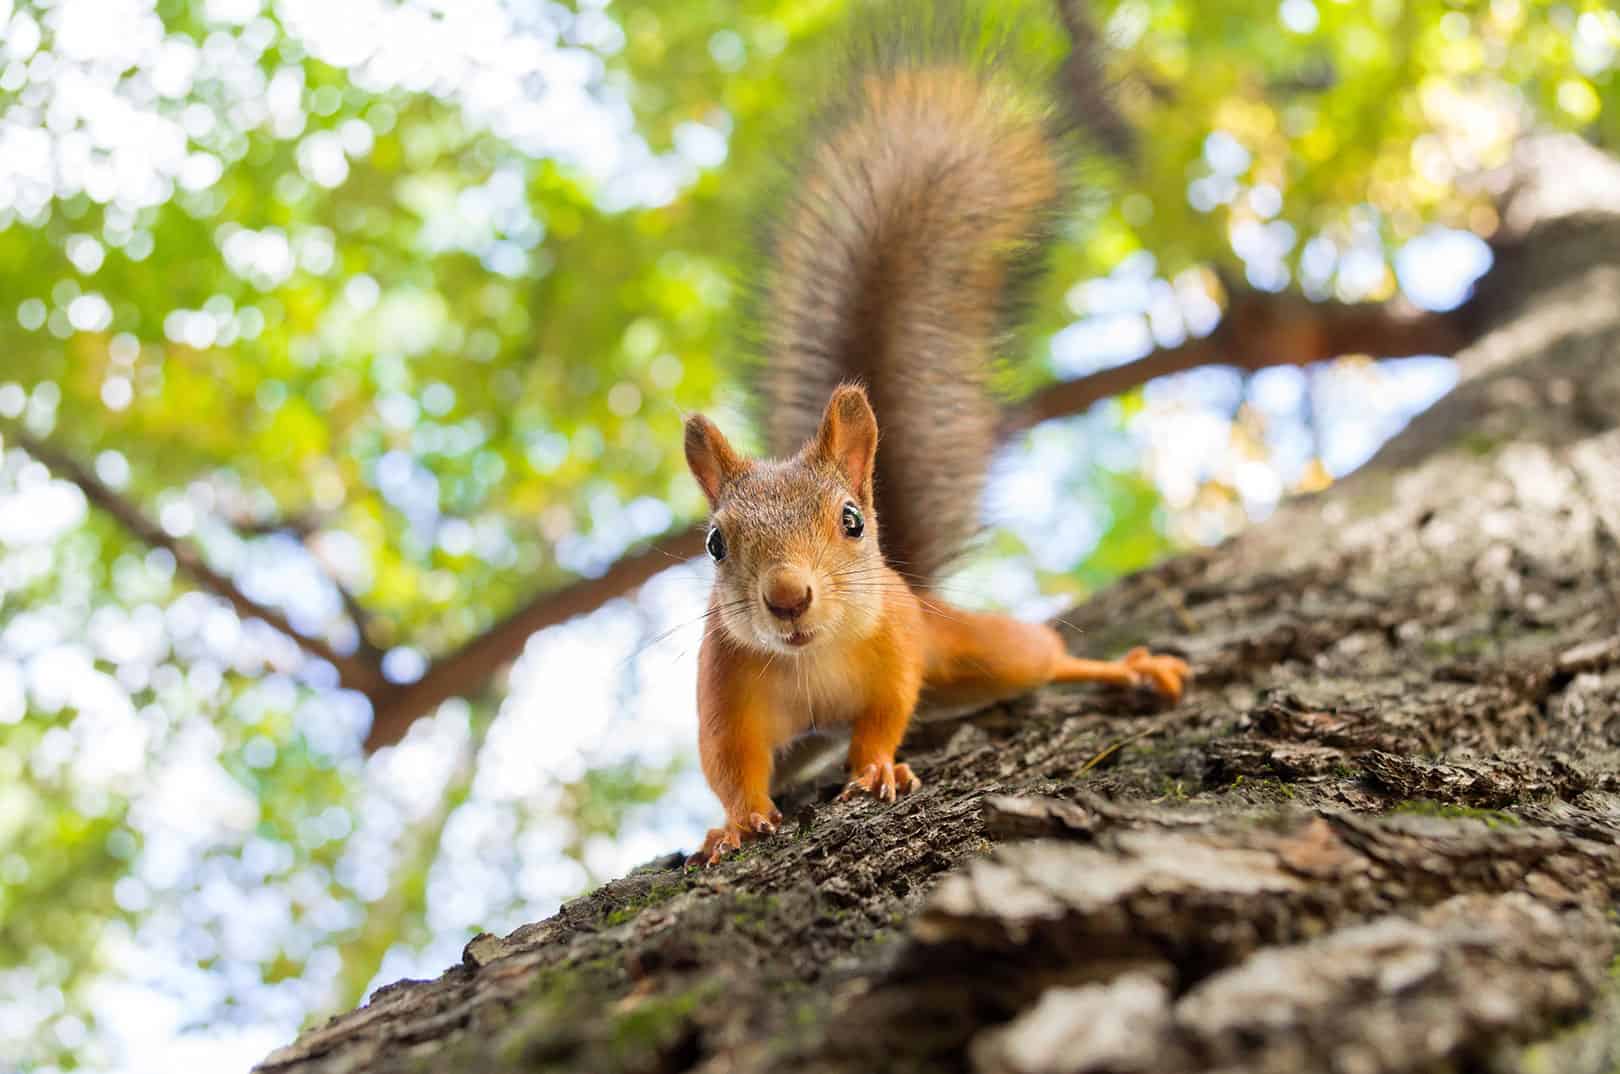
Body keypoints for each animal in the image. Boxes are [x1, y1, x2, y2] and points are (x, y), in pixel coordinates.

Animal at [677, 21, 1185, 868]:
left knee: (1037, 656)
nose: (786, 598)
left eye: (852, 521)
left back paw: (1129, 668)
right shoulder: (727, 686)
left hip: (962, 642)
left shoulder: (895, 653)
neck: (811, 657)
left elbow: (886, 716)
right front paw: (736, 822)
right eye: (715, 544)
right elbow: (728, 763)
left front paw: (877, 769)